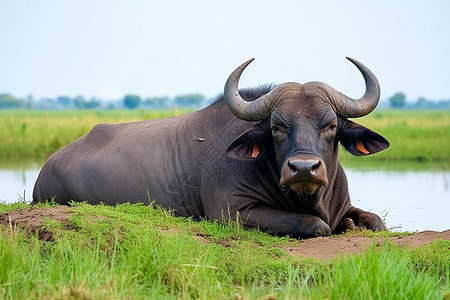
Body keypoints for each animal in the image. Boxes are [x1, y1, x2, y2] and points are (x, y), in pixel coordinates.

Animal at [33, 57, 388, 238]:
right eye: (276, 127)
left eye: (330, 125)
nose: (303, 168)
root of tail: (46, 169)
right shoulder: (232, 213)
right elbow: (316, 225)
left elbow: (376, 222)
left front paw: (353, 223)